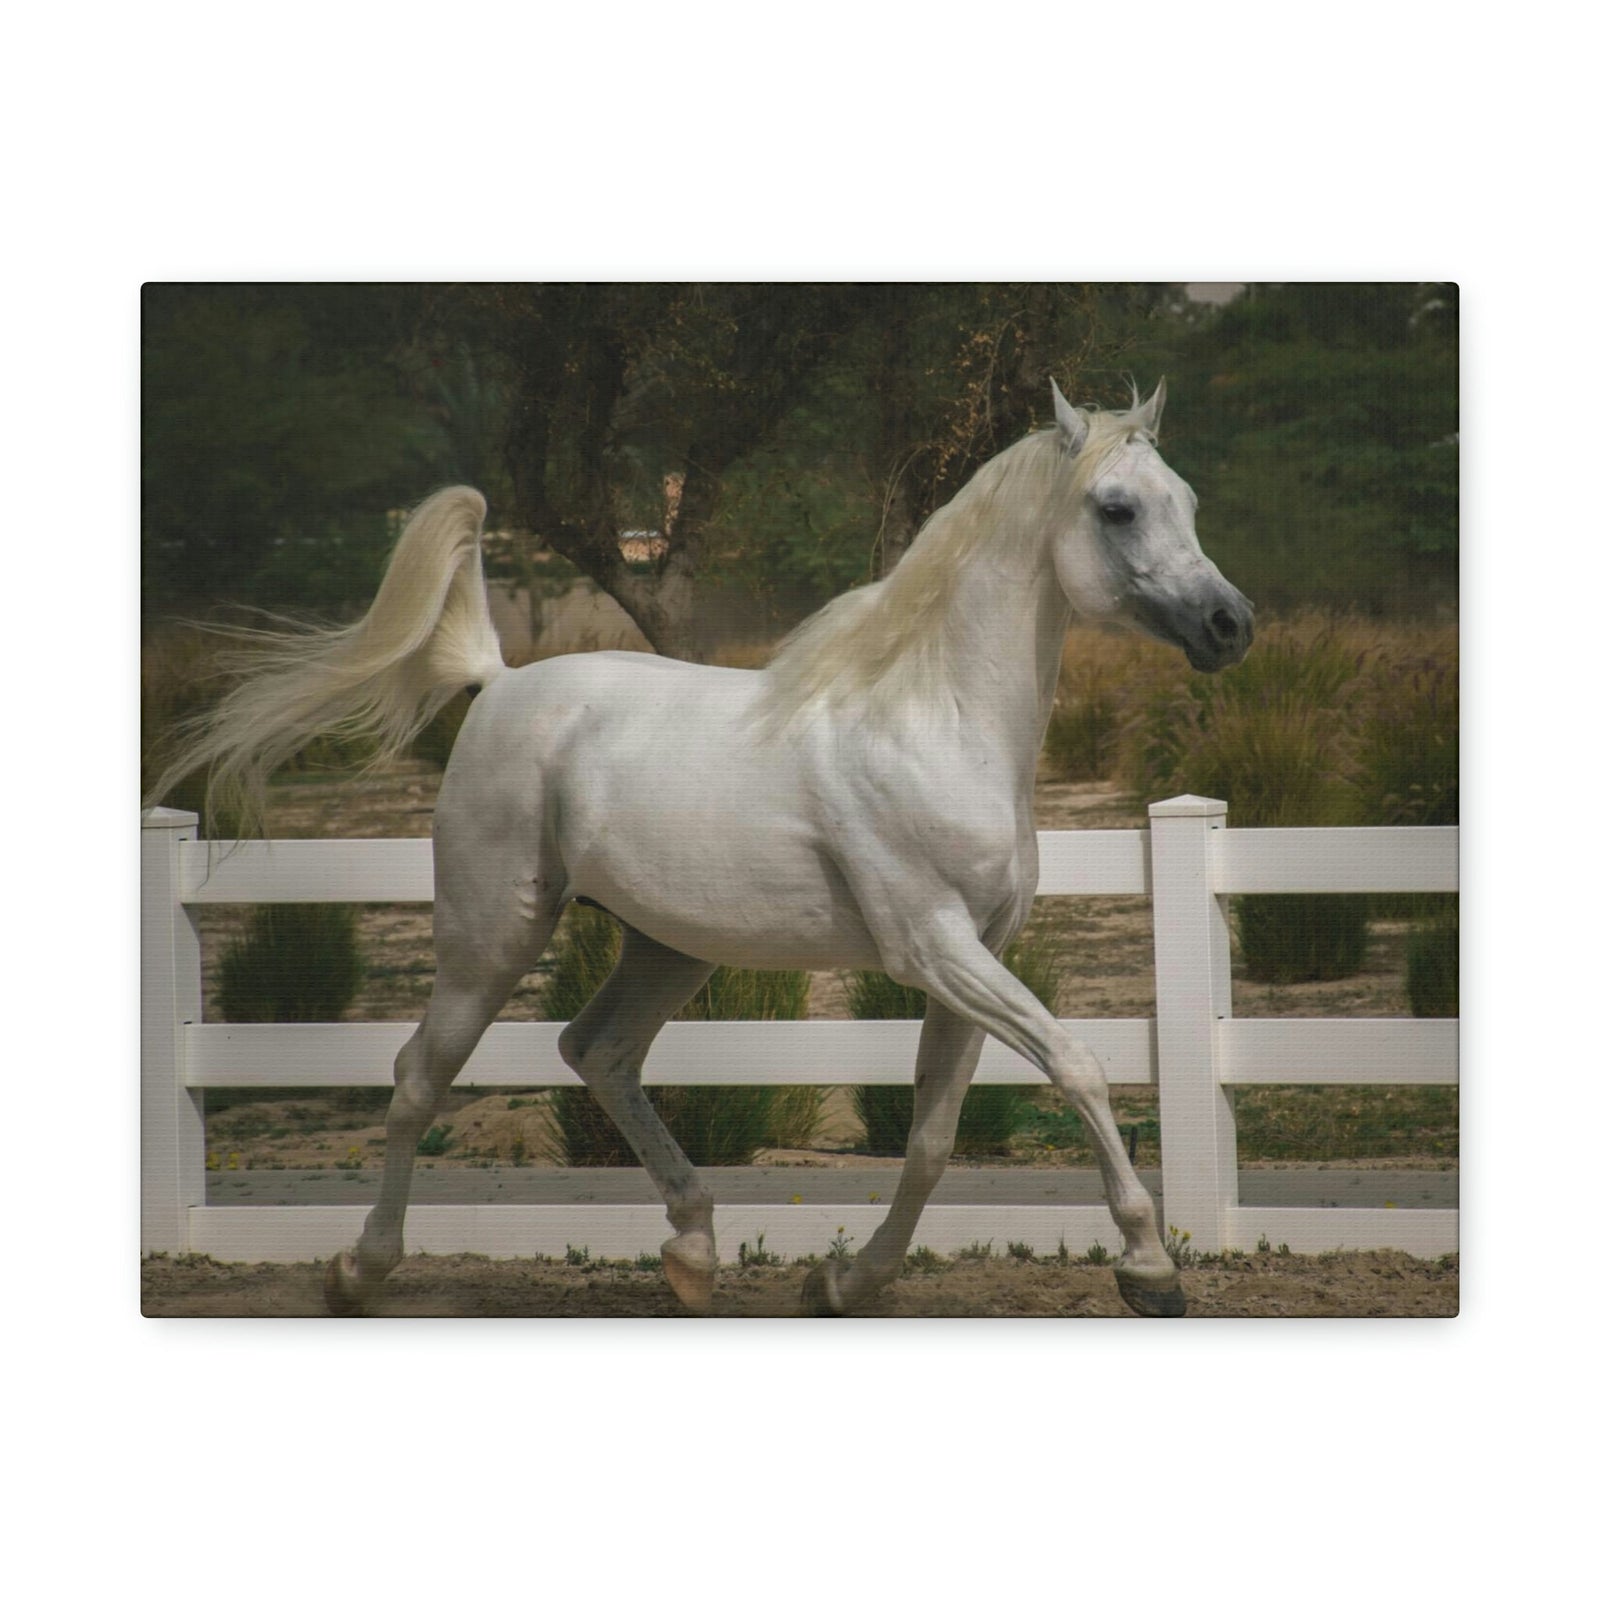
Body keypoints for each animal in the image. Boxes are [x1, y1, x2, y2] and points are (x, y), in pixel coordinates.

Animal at [154, 378, 1253, 1317]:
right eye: (1117, 508)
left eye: (1191, 499)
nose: (1229, 624)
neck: (932, 720)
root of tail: (500, 681)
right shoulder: (932, 947)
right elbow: (1077, 1065)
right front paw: (1149, 1269)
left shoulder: (975, 954)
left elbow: (934, 1140)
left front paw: (842, 1282)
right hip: (492, 932)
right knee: (423, 1072)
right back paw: (359, 1270)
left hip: (666, 945)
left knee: (595, 1051)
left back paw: (691, 1251)